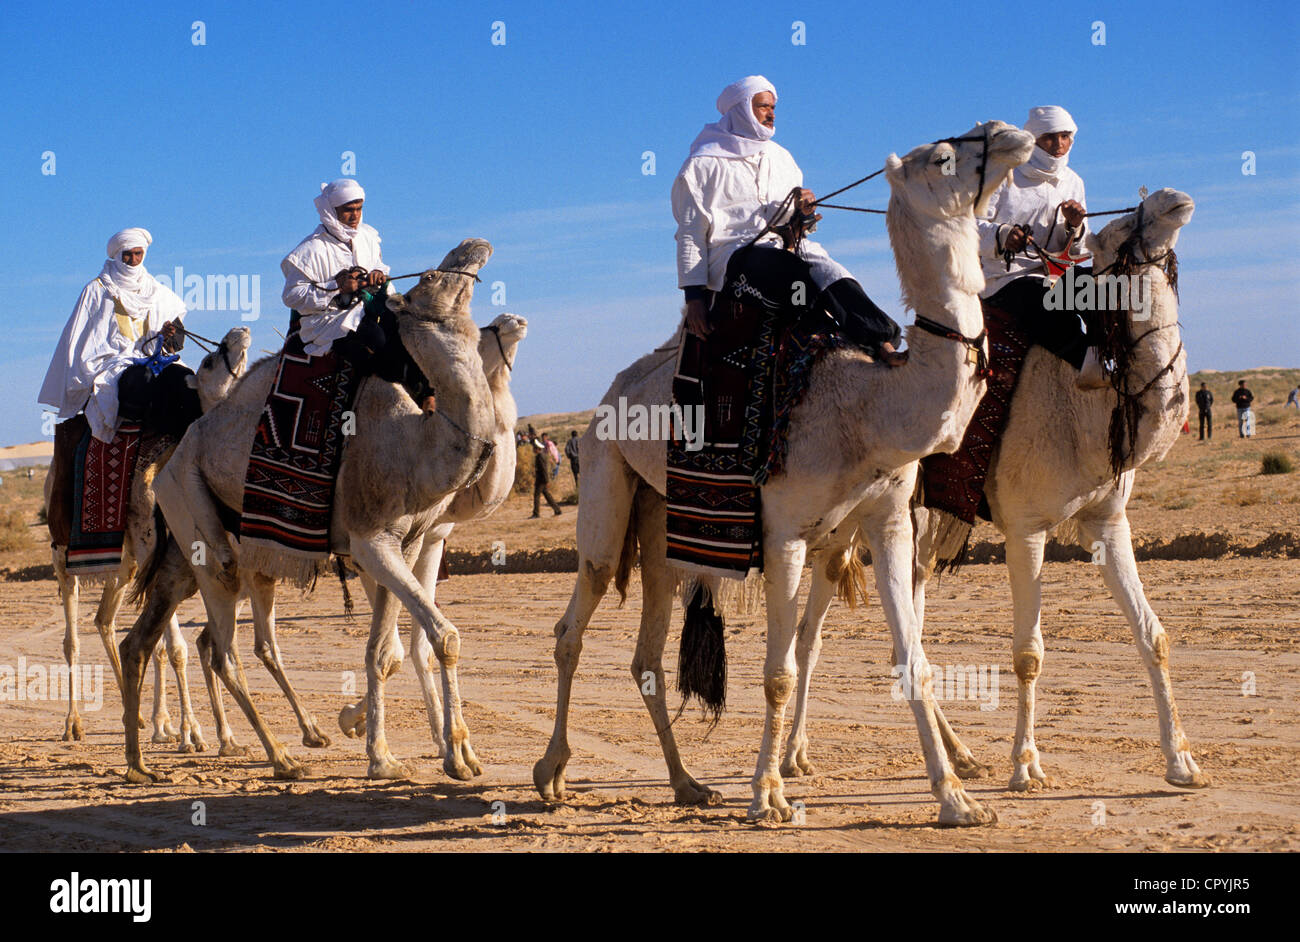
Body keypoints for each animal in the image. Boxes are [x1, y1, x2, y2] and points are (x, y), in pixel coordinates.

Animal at [47, 326, 250, 748]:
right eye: (209, 361)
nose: (239, 332)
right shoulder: (160, 552)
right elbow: (175, 648)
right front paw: (193, 733)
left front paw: (211, 732)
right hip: (64, 554)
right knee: (72, 637)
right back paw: (74, 723)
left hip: (124, 563)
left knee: (105, 619)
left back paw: (140, 716)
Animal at [120, 239, 497, 783]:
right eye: (429, 278)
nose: (473, 247)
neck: (417, 443)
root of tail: (165, 464)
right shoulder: (370, 539)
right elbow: (437, 639)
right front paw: (405, 757)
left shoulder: (403, 544)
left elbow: (388, 651)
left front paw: (425, 755)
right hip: (204, 538)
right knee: (223, 651)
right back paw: (278, 755)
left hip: (201, 562)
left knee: (148, 642)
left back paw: (140, 764)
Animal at [533, 121, 1036, 825]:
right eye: (942, 156)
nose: (1007, 133)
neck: (869, 404)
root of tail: (613, 393)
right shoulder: (785, 536)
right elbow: (778, 674)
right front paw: (769, 795)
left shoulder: (886, 522)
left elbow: (914, 659)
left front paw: (957, 800)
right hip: (606, 476)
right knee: (574, 623)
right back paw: (551, 773)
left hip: (661, 522)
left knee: (646, 655)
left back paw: (687, 784)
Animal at [781, 189, 1207, 794]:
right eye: (1117, 233)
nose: (1174, 199)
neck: (1088, 406)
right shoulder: (1026, 526)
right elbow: (1028, 652)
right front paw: (1026, 767)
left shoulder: (1108, 519)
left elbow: (1154, 635)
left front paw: (1182, 763)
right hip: (839, 522)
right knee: (809, 636)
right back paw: (795, 756)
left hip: (913, 523)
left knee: (906, 633)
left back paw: (961, 757)